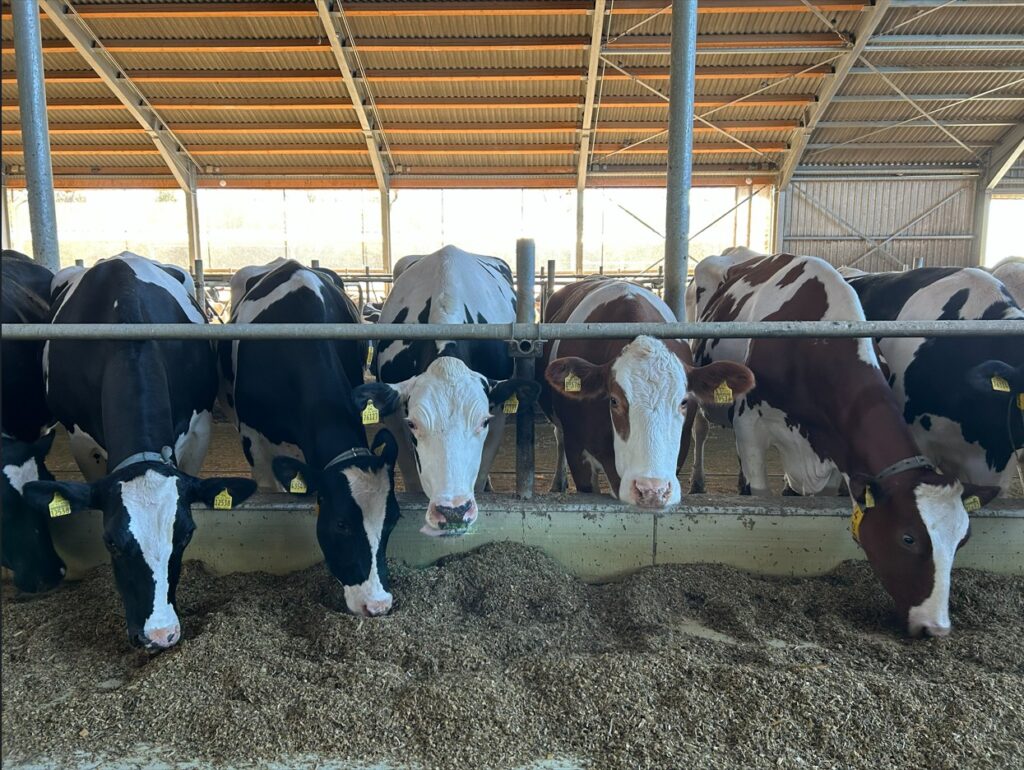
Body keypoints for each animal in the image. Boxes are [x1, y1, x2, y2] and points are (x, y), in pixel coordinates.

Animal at [351, 245, 539, 536]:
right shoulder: (393, 415)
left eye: (483, 422)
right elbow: (411, 474)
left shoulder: (499, 409)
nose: (453, 511)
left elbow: (481, 471)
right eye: (413, 424)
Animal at [691, 252, 999, 637]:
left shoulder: (840, 453)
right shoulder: (750, 426)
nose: (936, 628)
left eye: (963, 540)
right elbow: (760, 498)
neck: (814, 343)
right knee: (701, 431)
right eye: (908, 537)